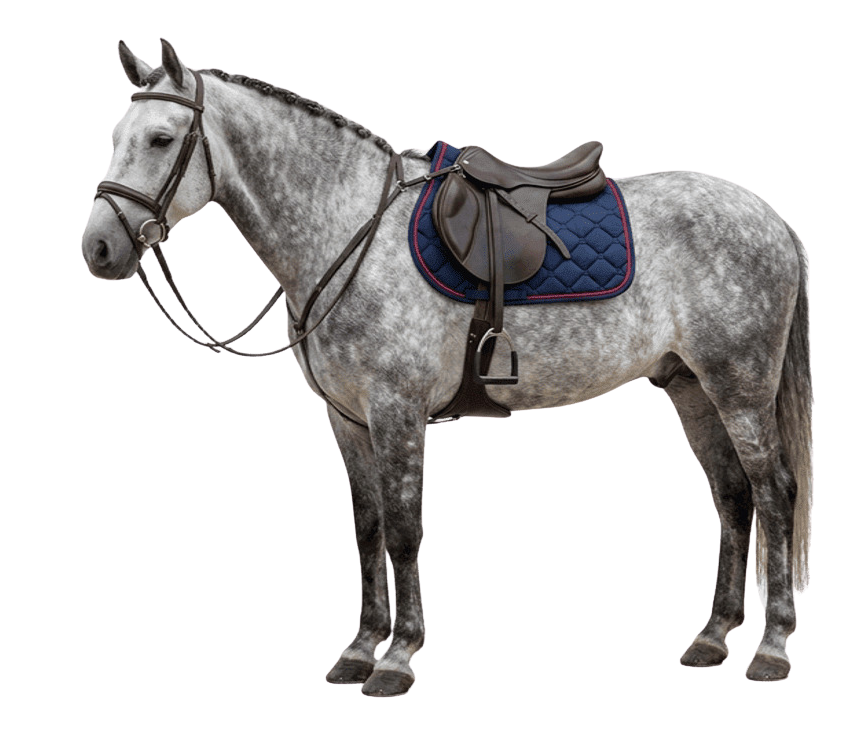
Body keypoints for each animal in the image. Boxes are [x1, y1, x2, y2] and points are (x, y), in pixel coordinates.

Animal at [81, 39, 813, 695]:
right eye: (117, 135)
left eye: (162, 139)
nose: (99, 247)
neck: (352, 230)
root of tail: (775, 222)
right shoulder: (347, 419)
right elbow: (368, 528)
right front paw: (358, 649)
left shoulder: (397, 413)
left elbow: (406, 530)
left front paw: (398, 657)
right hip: (692, 388)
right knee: (732, 495)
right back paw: (712, 637)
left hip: (740, 388)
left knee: (773, 491)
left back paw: (772, 646)